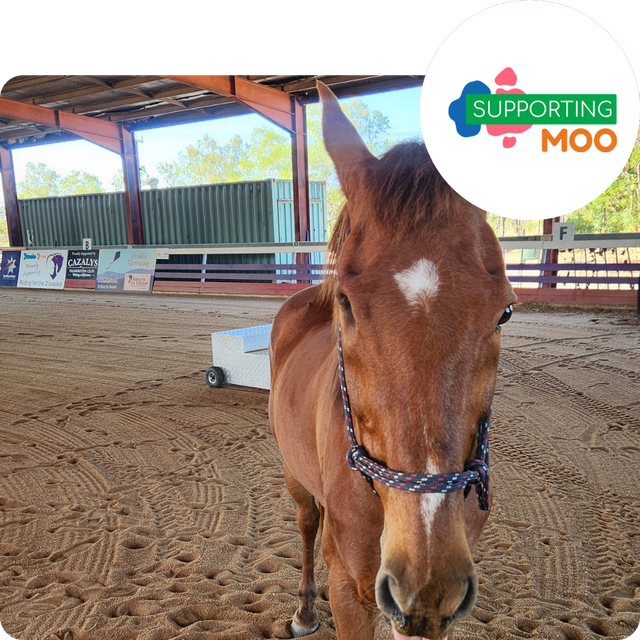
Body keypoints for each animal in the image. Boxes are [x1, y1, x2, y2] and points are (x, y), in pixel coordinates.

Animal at [268, 81, 515, 640]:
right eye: (347, 305)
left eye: (505, 311)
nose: (427, 580)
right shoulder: (351, 591)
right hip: (294, 478)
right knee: (306, 526)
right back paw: (304, 610)